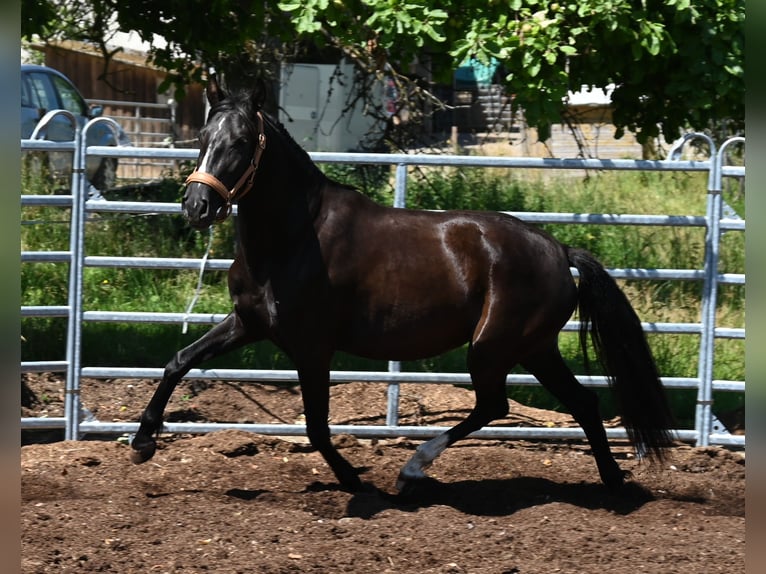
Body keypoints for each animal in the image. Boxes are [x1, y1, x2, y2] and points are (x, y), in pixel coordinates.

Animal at [130, 78, 675, 492]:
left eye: (242, 141)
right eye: (204, 136)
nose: (197, 206)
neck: (294, 237)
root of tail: (559, 250)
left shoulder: (312, 347)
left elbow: (317, 426)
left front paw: (354, 480)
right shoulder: (248, 323)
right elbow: (179, 361)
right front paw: (142, 444)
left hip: (494, 345)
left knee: (495, 404)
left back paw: (413, 467)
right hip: (535, 348)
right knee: (583, 403)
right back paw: (612, 482)